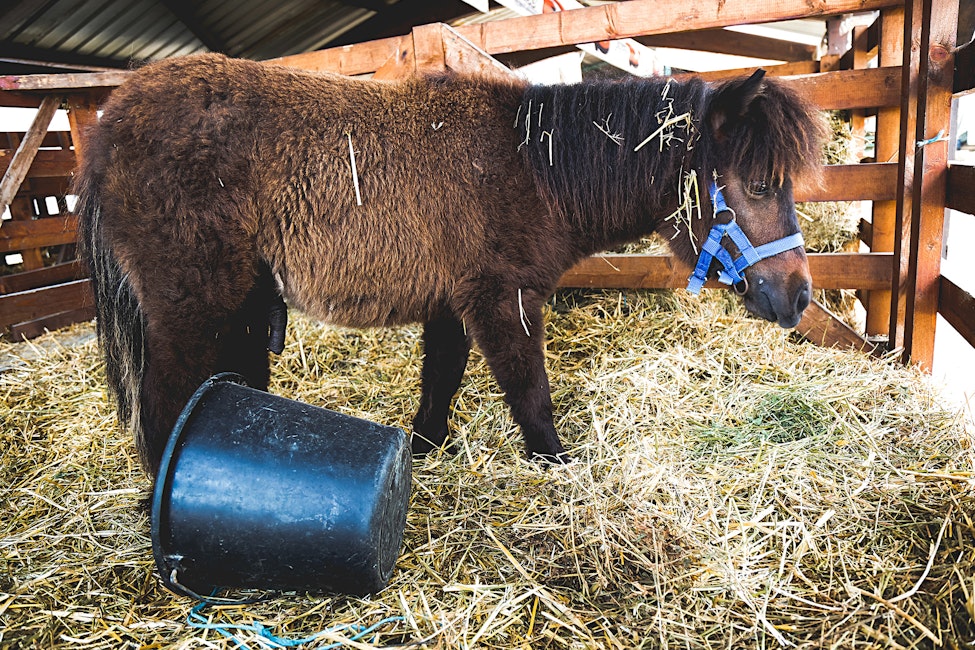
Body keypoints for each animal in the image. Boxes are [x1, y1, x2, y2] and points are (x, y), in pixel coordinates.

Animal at [76, 53, 825, 476]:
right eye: (760, 185)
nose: (796, 298)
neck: (534, 167)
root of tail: (109, 125)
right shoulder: (503, 300)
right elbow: (529, 394)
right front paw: (557, 469)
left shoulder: (451, 303)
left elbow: (440, 382)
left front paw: (425, 451)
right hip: (191, 305)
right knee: (163, 406)